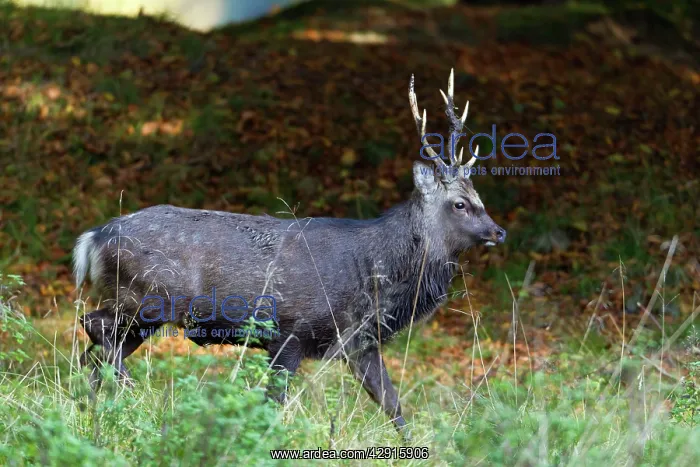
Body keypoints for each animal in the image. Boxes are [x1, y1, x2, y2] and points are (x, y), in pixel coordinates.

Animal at [73, 69, 506, 435]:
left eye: (480, 199)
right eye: (460, 204)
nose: (498, 231)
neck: (373, 273)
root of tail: (93, 237)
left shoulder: (359, 342)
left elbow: (392, 403)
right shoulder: (290, 330)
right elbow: (273, 402)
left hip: (140, 308)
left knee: (96, 353)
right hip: (147, 297)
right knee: (94, 330)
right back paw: (133, 395)